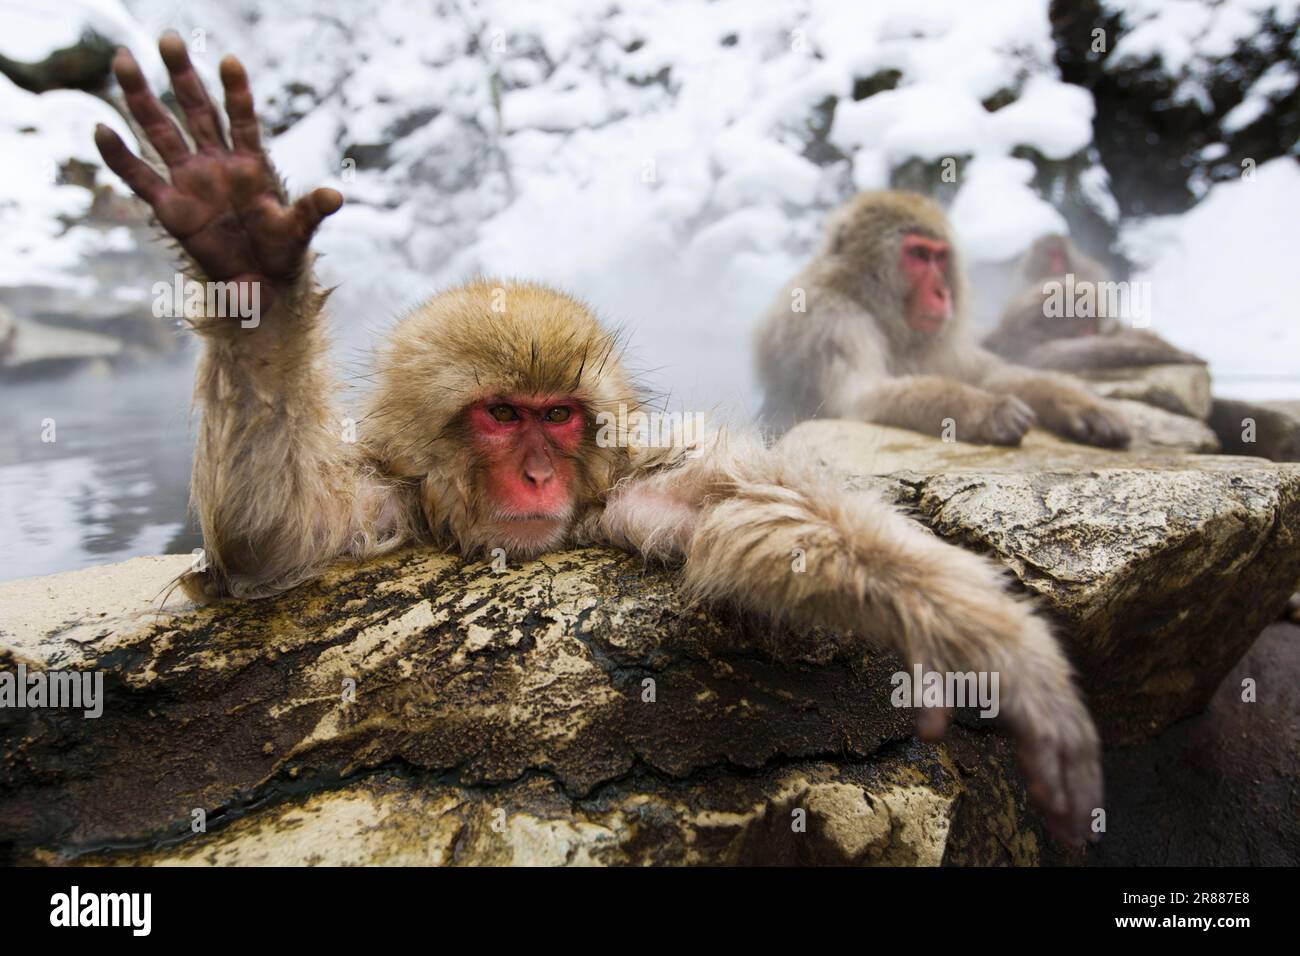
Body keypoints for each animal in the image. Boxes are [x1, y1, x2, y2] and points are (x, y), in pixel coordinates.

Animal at [759, 192, 1133, 450]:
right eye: (918, 255)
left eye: (939, 257)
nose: (942, 292)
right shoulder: (828, 320)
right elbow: (860, 396)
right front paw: (985, 408)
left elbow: (992, 374)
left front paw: (1080, 405)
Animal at [977, 235, 1201, 374]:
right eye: (1085, 328)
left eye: (1092, 326)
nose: (1093, 332)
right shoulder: (1031, 346)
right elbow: (1089, 353)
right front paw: (1169, 353)